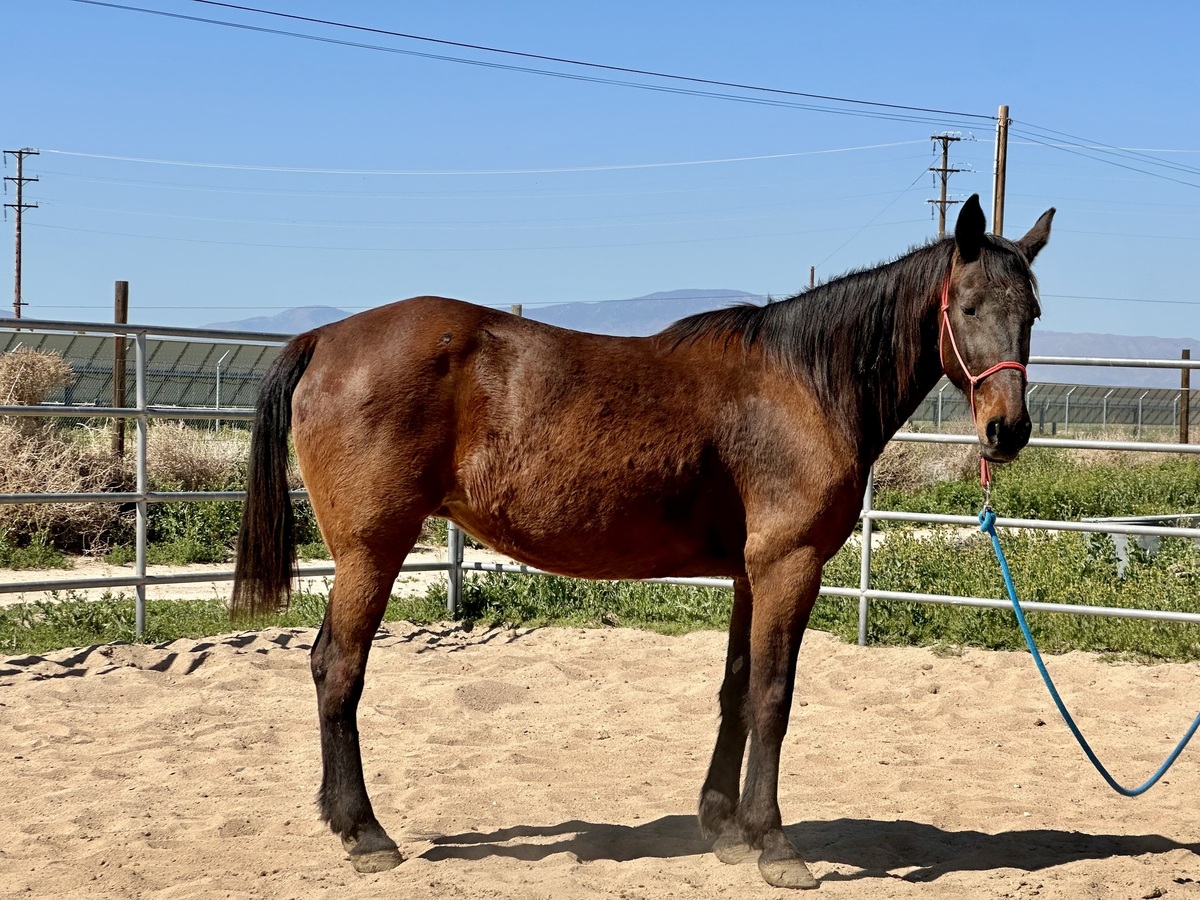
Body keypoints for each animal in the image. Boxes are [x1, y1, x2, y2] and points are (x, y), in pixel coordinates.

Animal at [232, 193, 1055, 889]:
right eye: (968, 305)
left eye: (1033, 311)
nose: (1006, 431)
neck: (802, 382)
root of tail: (326, 338)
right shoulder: (789, 566)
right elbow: (774, 694)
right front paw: (774, 843)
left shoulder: (751, 573)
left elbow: (736, 690)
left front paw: (723, 827)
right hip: (372, 552)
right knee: (338, 669)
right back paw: (364, 832)